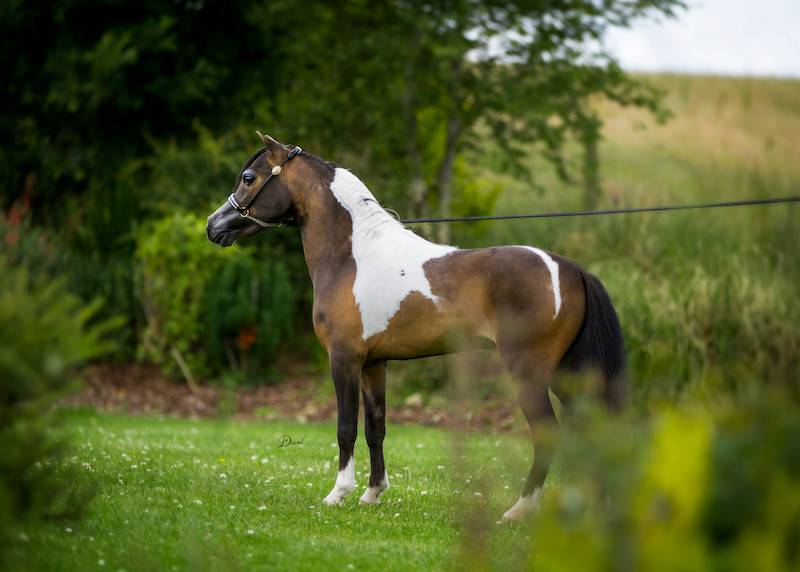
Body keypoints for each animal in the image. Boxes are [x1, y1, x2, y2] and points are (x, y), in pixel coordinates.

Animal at [206, 133, 627, 521]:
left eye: (248, 178)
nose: (213, 226)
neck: (352, 255)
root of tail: (571, 269)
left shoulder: (344, 358)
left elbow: (345, 427)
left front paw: (338, 493)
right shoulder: (374, 364)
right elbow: (375, 427)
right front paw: (372, 493)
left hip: (530, 372)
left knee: (546, 434)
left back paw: (519, 511)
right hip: (567, 375)